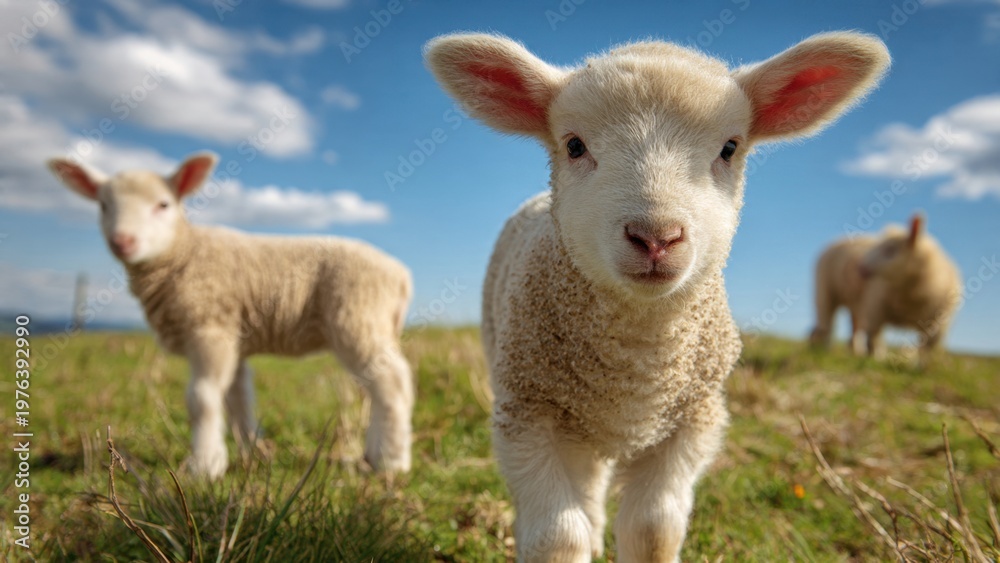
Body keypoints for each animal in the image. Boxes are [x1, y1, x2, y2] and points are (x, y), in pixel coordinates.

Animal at [47, 153, 414, 479]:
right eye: (103, 206)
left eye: (163, 205)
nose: (123, 241)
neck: (182, 253)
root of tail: (400, 275)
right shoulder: (233, 335)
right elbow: (238, 399)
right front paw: (250, 452)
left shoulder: (211, 327)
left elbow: (203, 397)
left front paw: (205, 466)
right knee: (380, 387)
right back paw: (372, 455)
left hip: (358, 319)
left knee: (392, 383)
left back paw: (392, 462)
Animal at [426, 32, 889, 562]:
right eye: (574, 145)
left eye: (730, 148)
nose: (656, 237)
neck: (637, 363)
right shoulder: (527, 413)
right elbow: (559, 534)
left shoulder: (691, 421)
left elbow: (653, 529)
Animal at [810, 214, 962, 364]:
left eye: (890, 249)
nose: (858, 268)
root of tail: (836, 240)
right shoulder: (875, 308)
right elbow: (874, 339)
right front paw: (874, 360)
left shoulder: (938, 323)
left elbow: (929, 348)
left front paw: (923, 367)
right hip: (824, 292)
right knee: (827, 325)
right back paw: (824, 352)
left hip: (856, 304)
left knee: (854, 329)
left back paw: (855, 353)